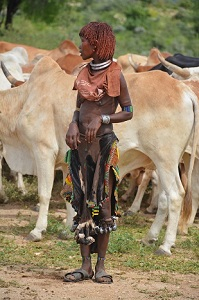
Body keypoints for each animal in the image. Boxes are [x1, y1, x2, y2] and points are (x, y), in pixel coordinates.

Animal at [1, 55, 197, 256]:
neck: (24, 100)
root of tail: (183, 90)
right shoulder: (65, 163)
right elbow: (70, 197)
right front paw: (68, 229)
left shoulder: (43, 151)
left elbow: (44, 194)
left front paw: (37, 230)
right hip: (167, 162)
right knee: (165, 198)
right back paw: (150, 237)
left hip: (165, 159)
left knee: (176, 195)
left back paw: (165, 245)